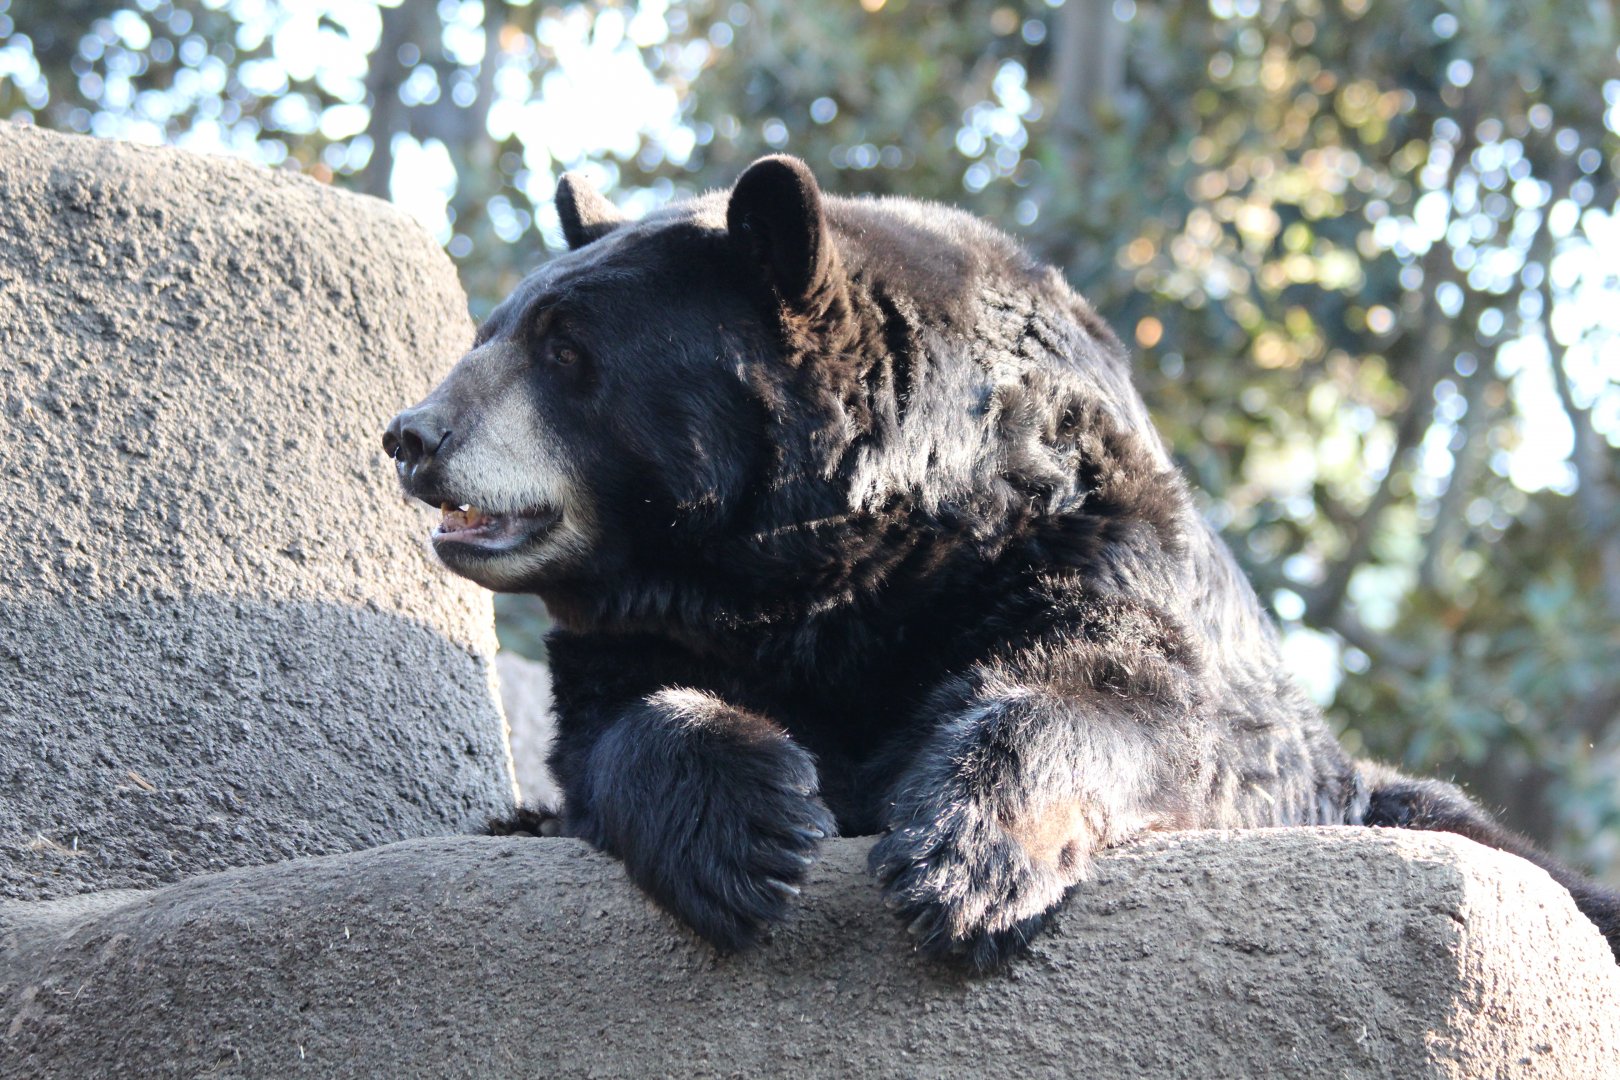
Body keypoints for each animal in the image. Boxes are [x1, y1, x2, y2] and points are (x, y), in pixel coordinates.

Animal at [384, 155, 1620, 970]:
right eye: (489, 330)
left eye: (565, 351)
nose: (412, 435)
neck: (818, 572)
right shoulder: (653, 623)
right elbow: (617, 722)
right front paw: (752, 825)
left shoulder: (1078, 538)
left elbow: (1130, 694)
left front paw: (964, 859)